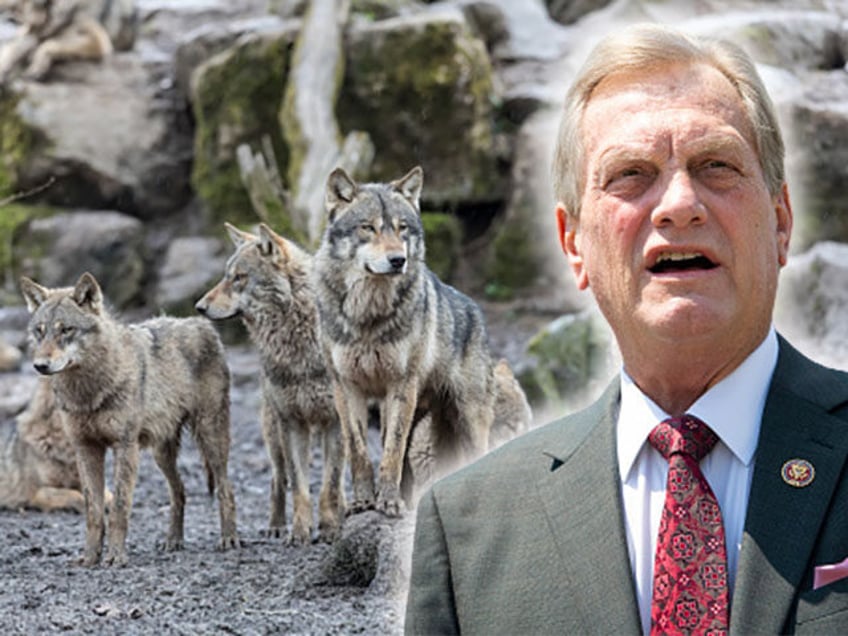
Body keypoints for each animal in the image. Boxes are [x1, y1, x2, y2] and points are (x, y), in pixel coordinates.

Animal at [18, 274, 242, 568]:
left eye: (66, 330)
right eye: (40, 331)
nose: (40, 366)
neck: (88, 392)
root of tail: (201, 323)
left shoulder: (124, 447)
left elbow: (119, 507)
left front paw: (115, 556)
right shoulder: (86, 449)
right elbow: (93, 510)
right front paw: (90, 557)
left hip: (210, 438)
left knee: (226, 488)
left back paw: (229, 539)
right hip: (161, 453)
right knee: (179, 492)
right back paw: (173, 541)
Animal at [195, 221, 344, 544]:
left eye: (239, 278)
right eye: (226, 276)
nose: (199, 307)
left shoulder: (336, 421)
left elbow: (330, 484)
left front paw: (329, 528)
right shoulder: (292, 421)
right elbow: (299, 486)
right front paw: (299, 532)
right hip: (274, 432)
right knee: (278, 478)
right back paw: (276, 526)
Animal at [312, 165, 496, 516]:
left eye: (402, 229)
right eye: (368, 228)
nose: (398, 260)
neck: (368, 316)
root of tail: (476, 311)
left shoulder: (399, 386)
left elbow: (391, 452)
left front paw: (388, 502)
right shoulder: (346, 387)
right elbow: (359, 451)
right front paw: (363, 502)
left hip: (467, 420)